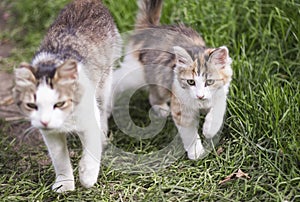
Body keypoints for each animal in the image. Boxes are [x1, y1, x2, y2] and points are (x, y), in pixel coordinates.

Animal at [12, 0, 120, 193]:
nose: (45, 121)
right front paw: (65, 183)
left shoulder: (89, 116)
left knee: (103, 108)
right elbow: (59, 158)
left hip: (105, 79)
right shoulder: (50, 134)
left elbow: (92, 148)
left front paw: (87, 176)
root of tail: (88, 1)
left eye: (60, 103)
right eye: (32, 105)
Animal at [112, 0, 232, 160]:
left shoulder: (221, 92)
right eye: (191, 82)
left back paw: (161, 109)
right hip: (136, 74)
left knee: (154, 93)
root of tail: (150, 28)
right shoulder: (180, 107)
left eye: (209, 82)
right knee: (115, 79)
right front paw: (196, 152)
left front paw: (209, 129)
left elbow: (218, 109)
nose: (200, 96)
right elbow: (189, 132)